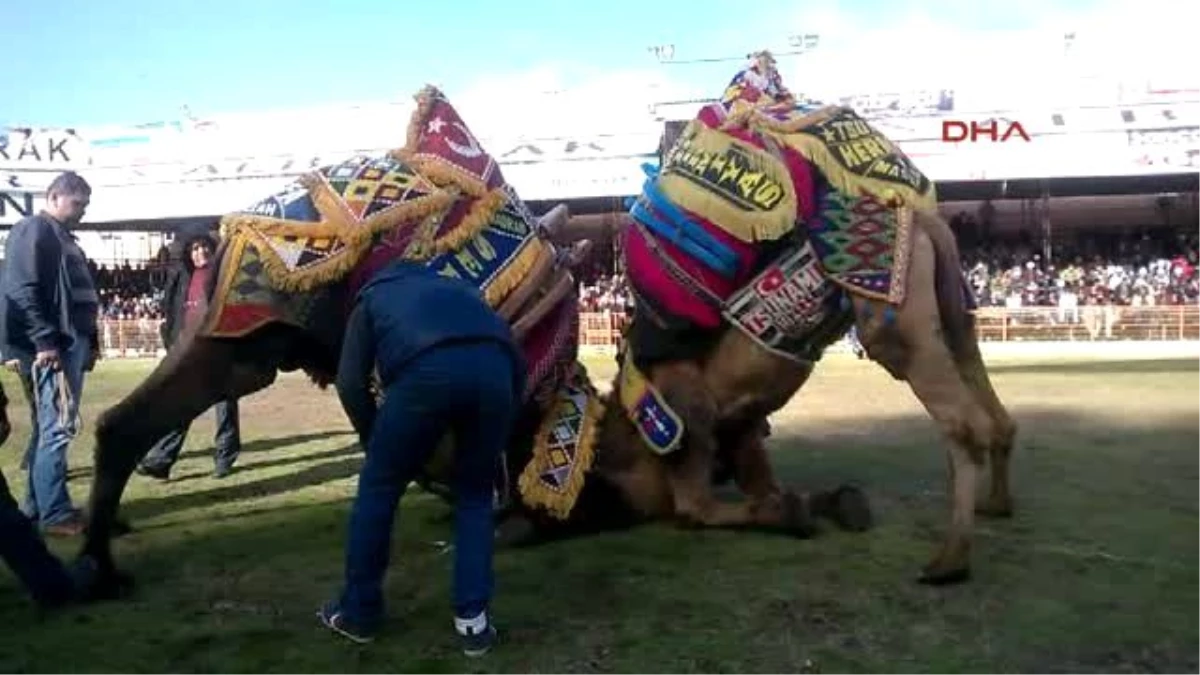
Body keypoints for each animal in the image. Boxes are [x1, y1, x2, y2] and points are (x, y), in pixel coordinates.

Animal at [604, 100, 1017, 583]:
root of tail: (922, 219)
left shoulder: (691, 412)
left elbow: (697, 508)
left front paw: (797, 512)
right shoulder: (741, 424)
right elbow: (763, 484)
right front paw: (832, 503)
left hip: (896, 323)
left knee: (964, 424)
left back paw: (948, 560)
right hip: (952, 309)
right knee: (993, 410)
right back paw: (995, 505)